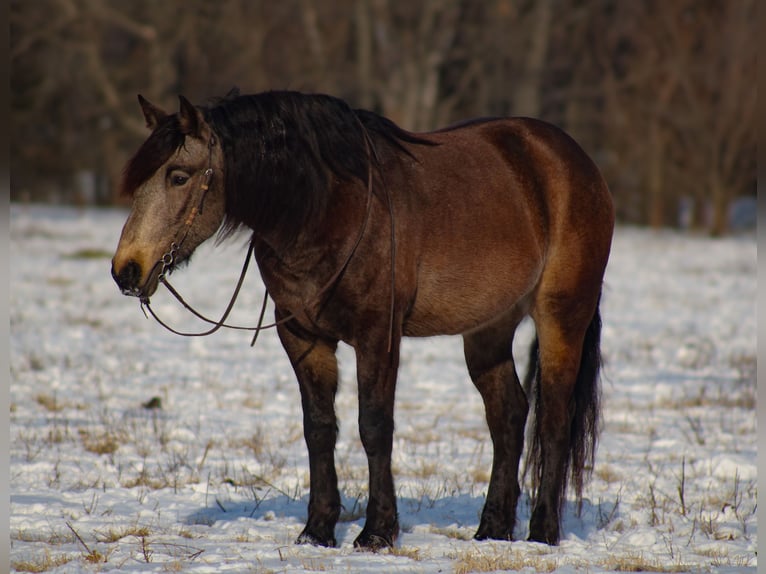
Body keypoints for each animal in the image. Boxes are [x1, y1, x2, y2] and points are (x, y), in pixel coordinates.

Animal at [111, 89, 614, 550]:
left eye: (178, 176)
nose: (126, 270)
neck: (327, 208)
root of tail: (571, 159)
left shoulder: (377, 335)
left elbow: (374, 427)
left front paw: (377, 532)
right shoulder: (302, 337)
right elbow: (318, 429)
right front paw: (317, 531)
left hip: (561, 318)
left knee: (553, 419)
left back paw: (543, 532)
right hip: (488, 329)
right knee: (508, 415)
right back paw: (492, 529)